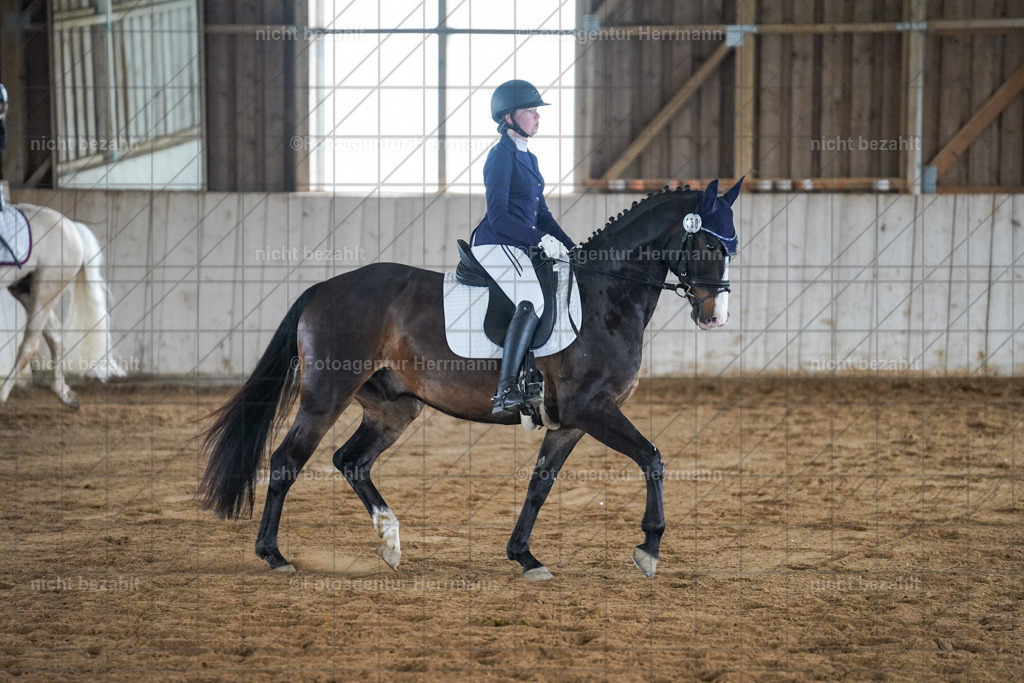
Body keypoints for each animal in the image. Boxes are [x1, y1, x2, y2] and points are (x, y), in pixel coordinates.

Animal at [0, 203, 124, 408]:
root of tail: (71, 227)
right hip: (25, 290)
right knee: (56, 336)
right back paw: (64, 393)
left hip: (45, 289)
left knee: (30, 345)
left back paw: (2, 396)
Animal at [198, 178, 742, 580]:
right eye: (707, 242)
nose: (715, 316)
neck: (606, 296)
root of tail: (322, 288)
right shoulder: (593, 409)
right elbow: (652, 459)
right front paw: (649, 547)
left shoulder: (569, 423)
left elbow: (540, 484)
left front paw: (525, 557)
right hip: (325, 397)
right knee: (287, 461)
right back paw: (274, 555)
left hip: (394, 407)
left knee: (351, 461)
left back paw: (390, 542)